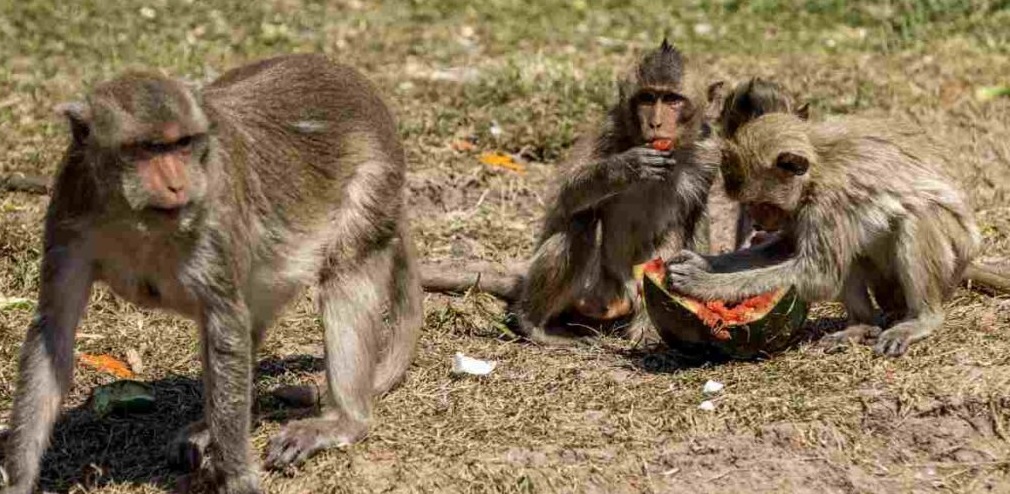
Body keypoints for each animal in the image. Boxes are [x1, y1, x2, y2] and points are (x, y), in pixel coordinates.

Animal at [1, 54, 422, 494]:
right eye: (149, 148)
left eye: (182, 144)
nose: (177, 183)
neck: (134, 216)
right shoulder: (69, 208)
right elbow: (54, 330)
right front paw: (19, 478)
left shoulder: (214, 213)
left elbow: (226, 325)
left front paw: (236, 476)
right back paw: (209, 429)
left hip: (375, 179)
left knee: (345, 269)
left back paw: (344, 420)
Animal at [664, 111, 1010, 356]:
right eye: (751, 206)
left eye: (762, 205)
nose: (760, 224)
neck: (816, 170)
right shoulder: (801, 209)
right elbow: (787, 246)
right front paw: (705, 262)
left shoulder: (827, 202)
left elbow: (820, 274)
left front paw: (704, 284)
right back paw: (862, 326)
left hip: (953, 257)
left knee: (917, 216)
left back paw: (923, 318)